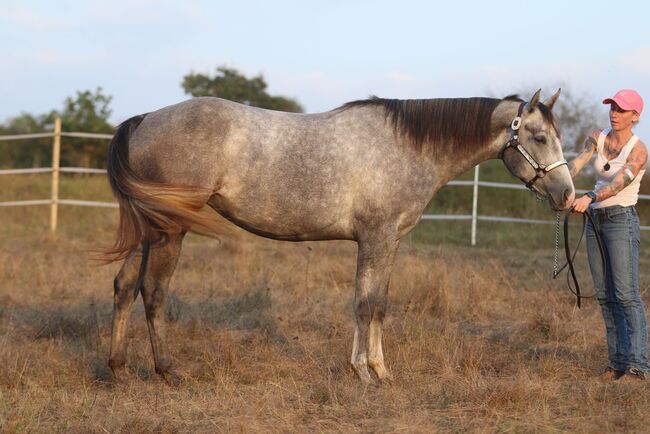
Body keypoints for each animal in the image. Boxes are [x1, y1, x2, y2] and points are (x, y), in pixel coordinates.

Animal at [105, 88, 572, 384]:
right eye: (539, 137)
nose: (567, 195)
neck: (408, 146)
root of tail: (145, 120)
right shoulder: (375, 238)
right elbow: (364, 304)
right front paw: (364, 372)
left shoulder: (389, 241)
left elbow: (378, 304)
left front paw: (379, 371)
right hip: (169, 231)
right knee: (153, 291)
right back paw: (167, 370)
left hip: (148, 229)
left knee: (125, 286)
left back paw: (119, 369)